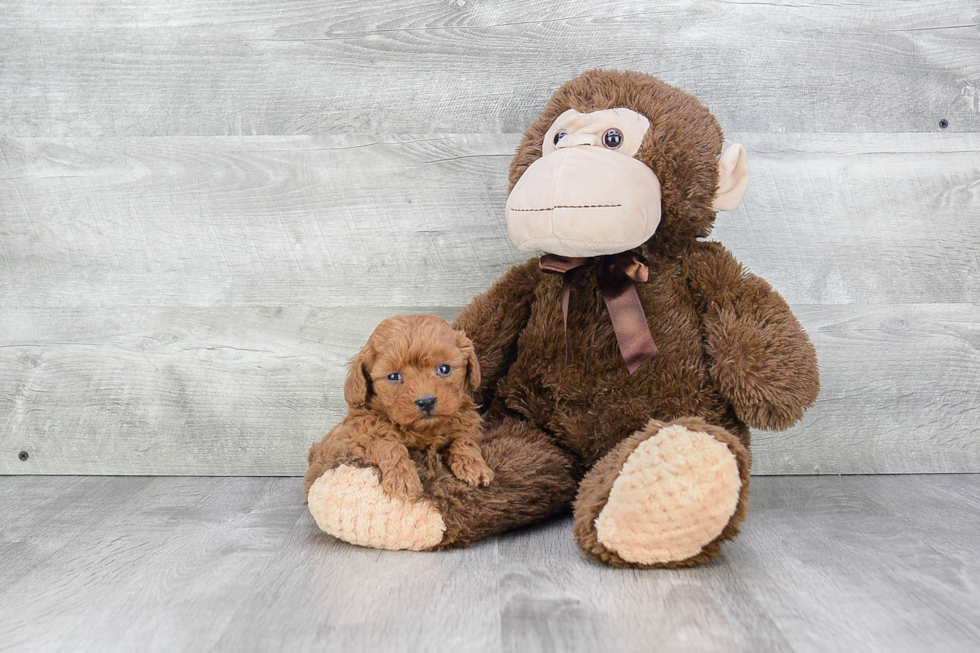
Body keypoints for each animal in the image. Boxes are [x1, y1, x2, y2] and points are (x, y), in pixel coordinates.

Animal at [308, 314, 494, 500]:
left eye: (444, 369)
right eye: (393, 376)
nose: (426, 401)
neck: (422, 430)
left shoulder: (465, 421)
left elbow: (463, 439)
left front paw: (475, 466)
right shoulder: (353, 436)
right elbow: (387, 444)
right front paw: (403, 479)